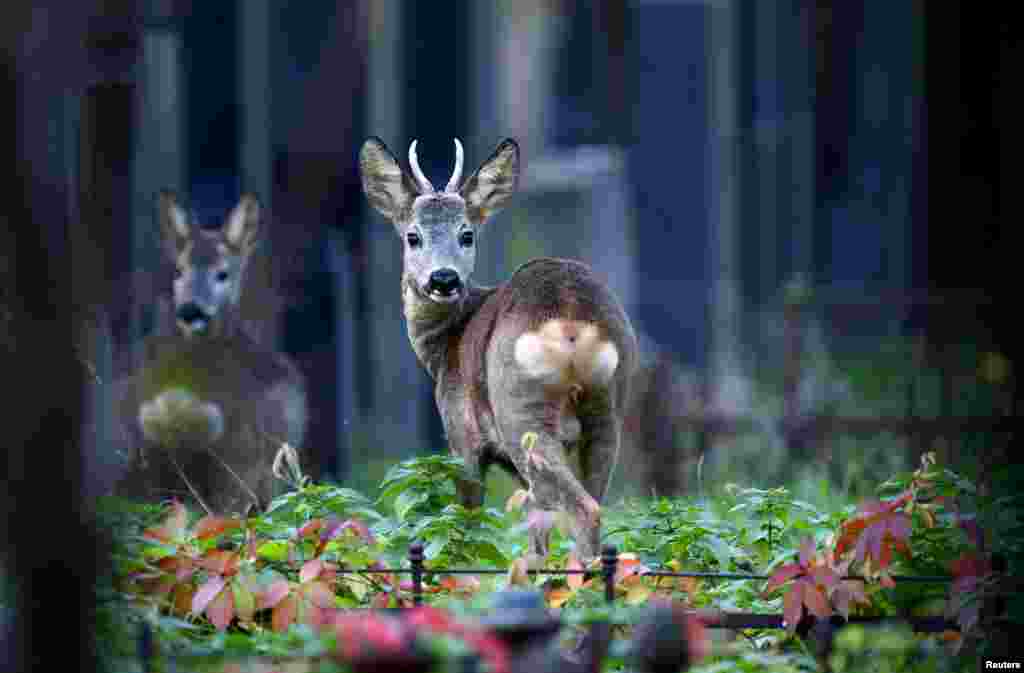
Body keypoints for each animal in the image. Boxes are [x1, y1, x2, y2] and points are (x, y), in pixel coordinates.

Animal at [356, 135, 634, 557]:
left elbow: (466, 524)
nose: (443, 278)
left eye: (467, 234)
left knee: (582, 509)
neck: (445, 346)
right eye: (413, 236)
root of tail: (572, 322)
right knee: (585, 503)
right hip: (607, 412)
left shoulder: (461, 437)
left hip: (521, 413)